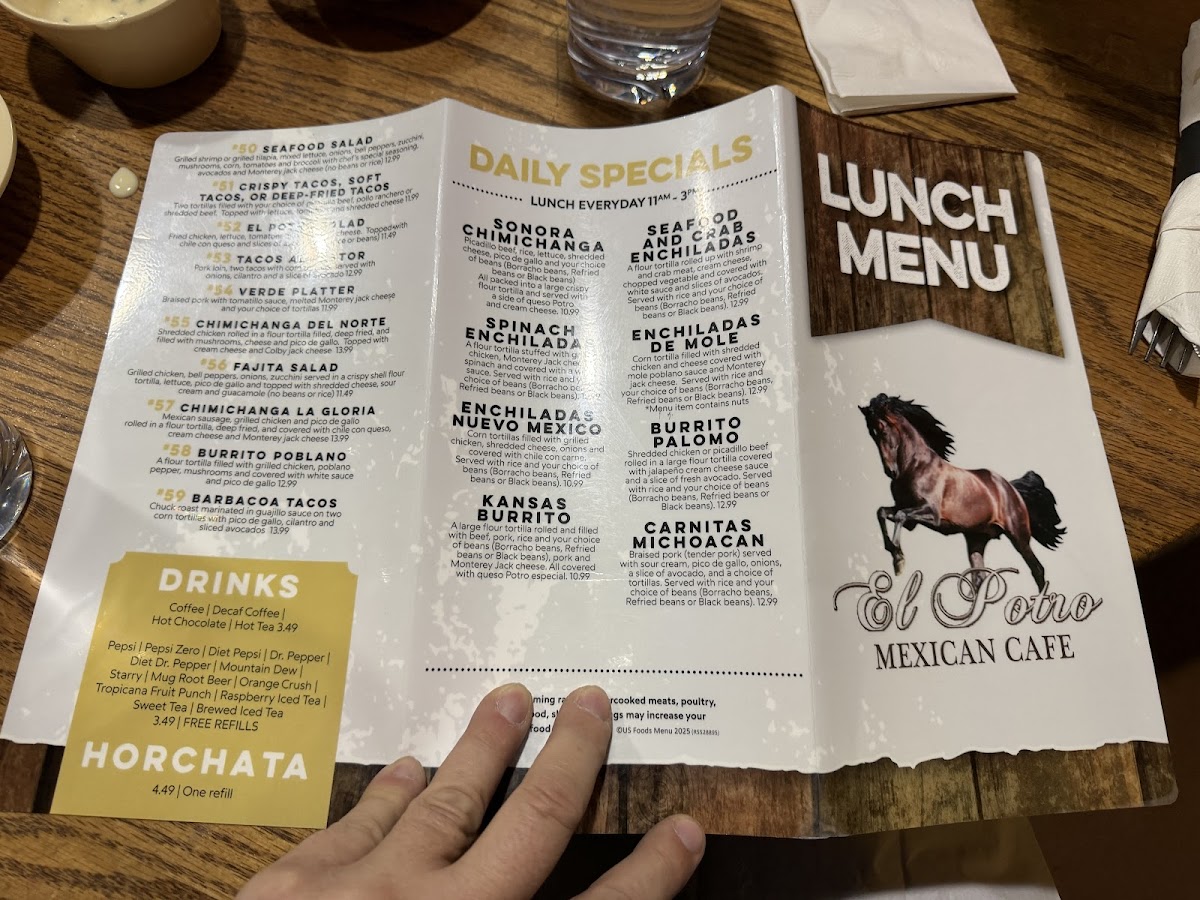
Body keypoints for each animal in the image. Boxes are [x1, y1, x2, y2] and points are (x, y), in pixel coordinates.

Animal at [859, 394, 1065, 590]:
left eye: (883, 429)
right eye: (871, 434)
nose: (890, 471)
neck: (915, 466)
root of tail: (1012, 489)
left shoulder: (931, 513)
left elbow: (900, 515)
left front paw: (899, 560)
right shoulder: (910, 519)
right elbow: (882, 512)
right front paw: (894, 553)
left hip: (1018, 536)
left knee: (1037, 569)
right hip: (976, 540)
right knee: (979, 578)